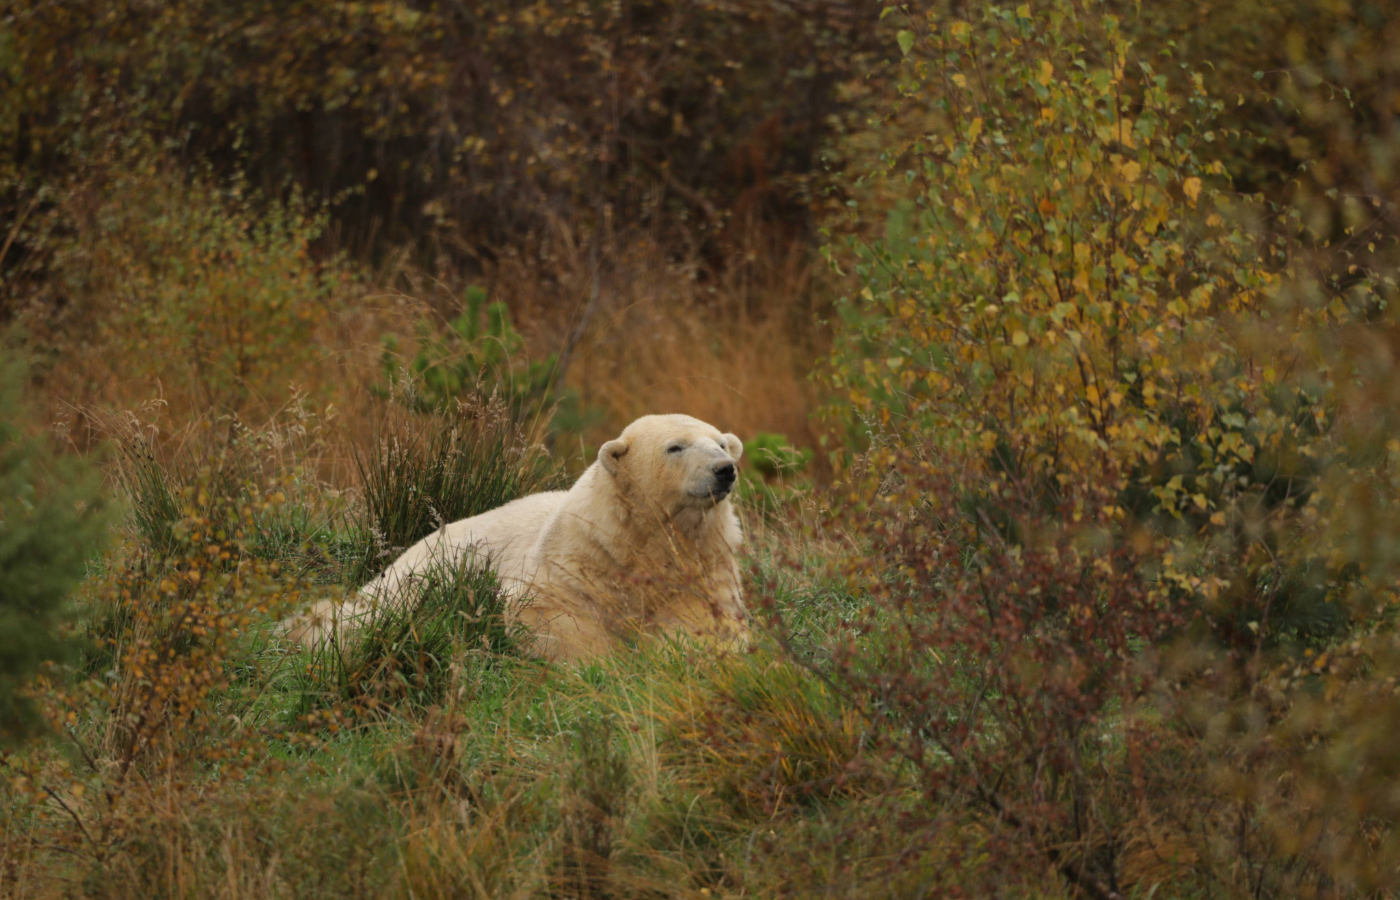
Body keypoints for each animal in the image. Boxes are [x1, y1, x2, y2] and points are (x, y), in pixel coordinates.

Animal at [294, 414, 750, 660]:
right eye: (676, 447)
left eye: (722, 442)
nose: (724, 469)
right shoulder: (581, 556)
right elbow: (546, 609)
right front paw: (606, 661)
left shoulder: (703, 565)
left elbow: (706, 621)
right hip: (420, 576)